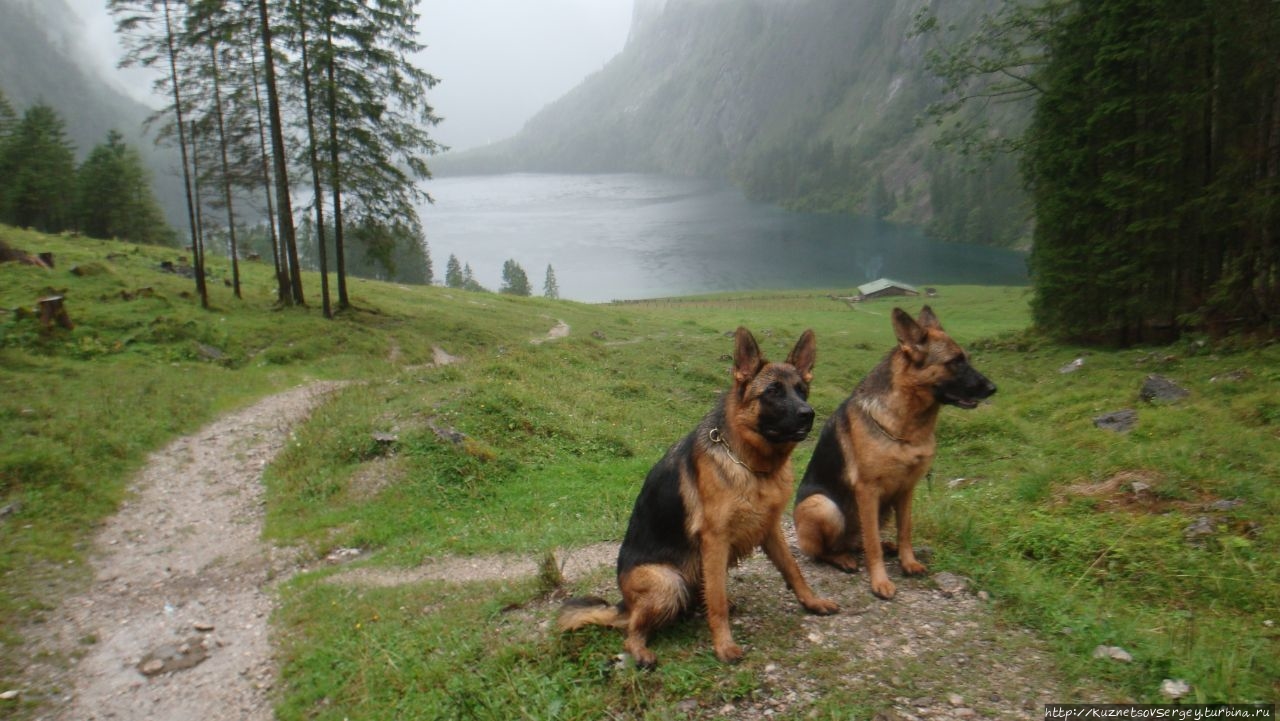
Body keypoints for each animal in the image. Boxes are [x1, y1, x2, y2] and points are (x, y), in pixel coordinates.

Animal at [560, 327, 839, 665]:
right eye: (773, 391)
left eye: (802, 390)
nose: (807, 414)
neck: (752, 466)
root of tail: (624, 604)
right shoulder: (715, 540)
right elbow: (716, 600)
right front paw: (723, 645)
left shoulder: (770, 529)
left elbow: (793, 569)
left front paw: (812, 602)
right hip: (669, 582)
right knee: (633, 631)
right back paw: (641, 652)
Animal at [793, 307, 993, 601]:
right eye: (955, 362)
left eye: (966, 359)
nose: (992, 388)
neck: (907, 429)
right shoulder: (867, 491)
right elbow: (872, 545)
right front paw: (880, 581)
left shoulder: (907, 489)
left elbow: (905, 530)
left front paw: (907, 561)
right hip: (823, 506)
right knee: (826, 550)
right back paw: (842, 558)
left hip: (882, 509)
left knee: (862, 540)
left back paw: (885, 546)